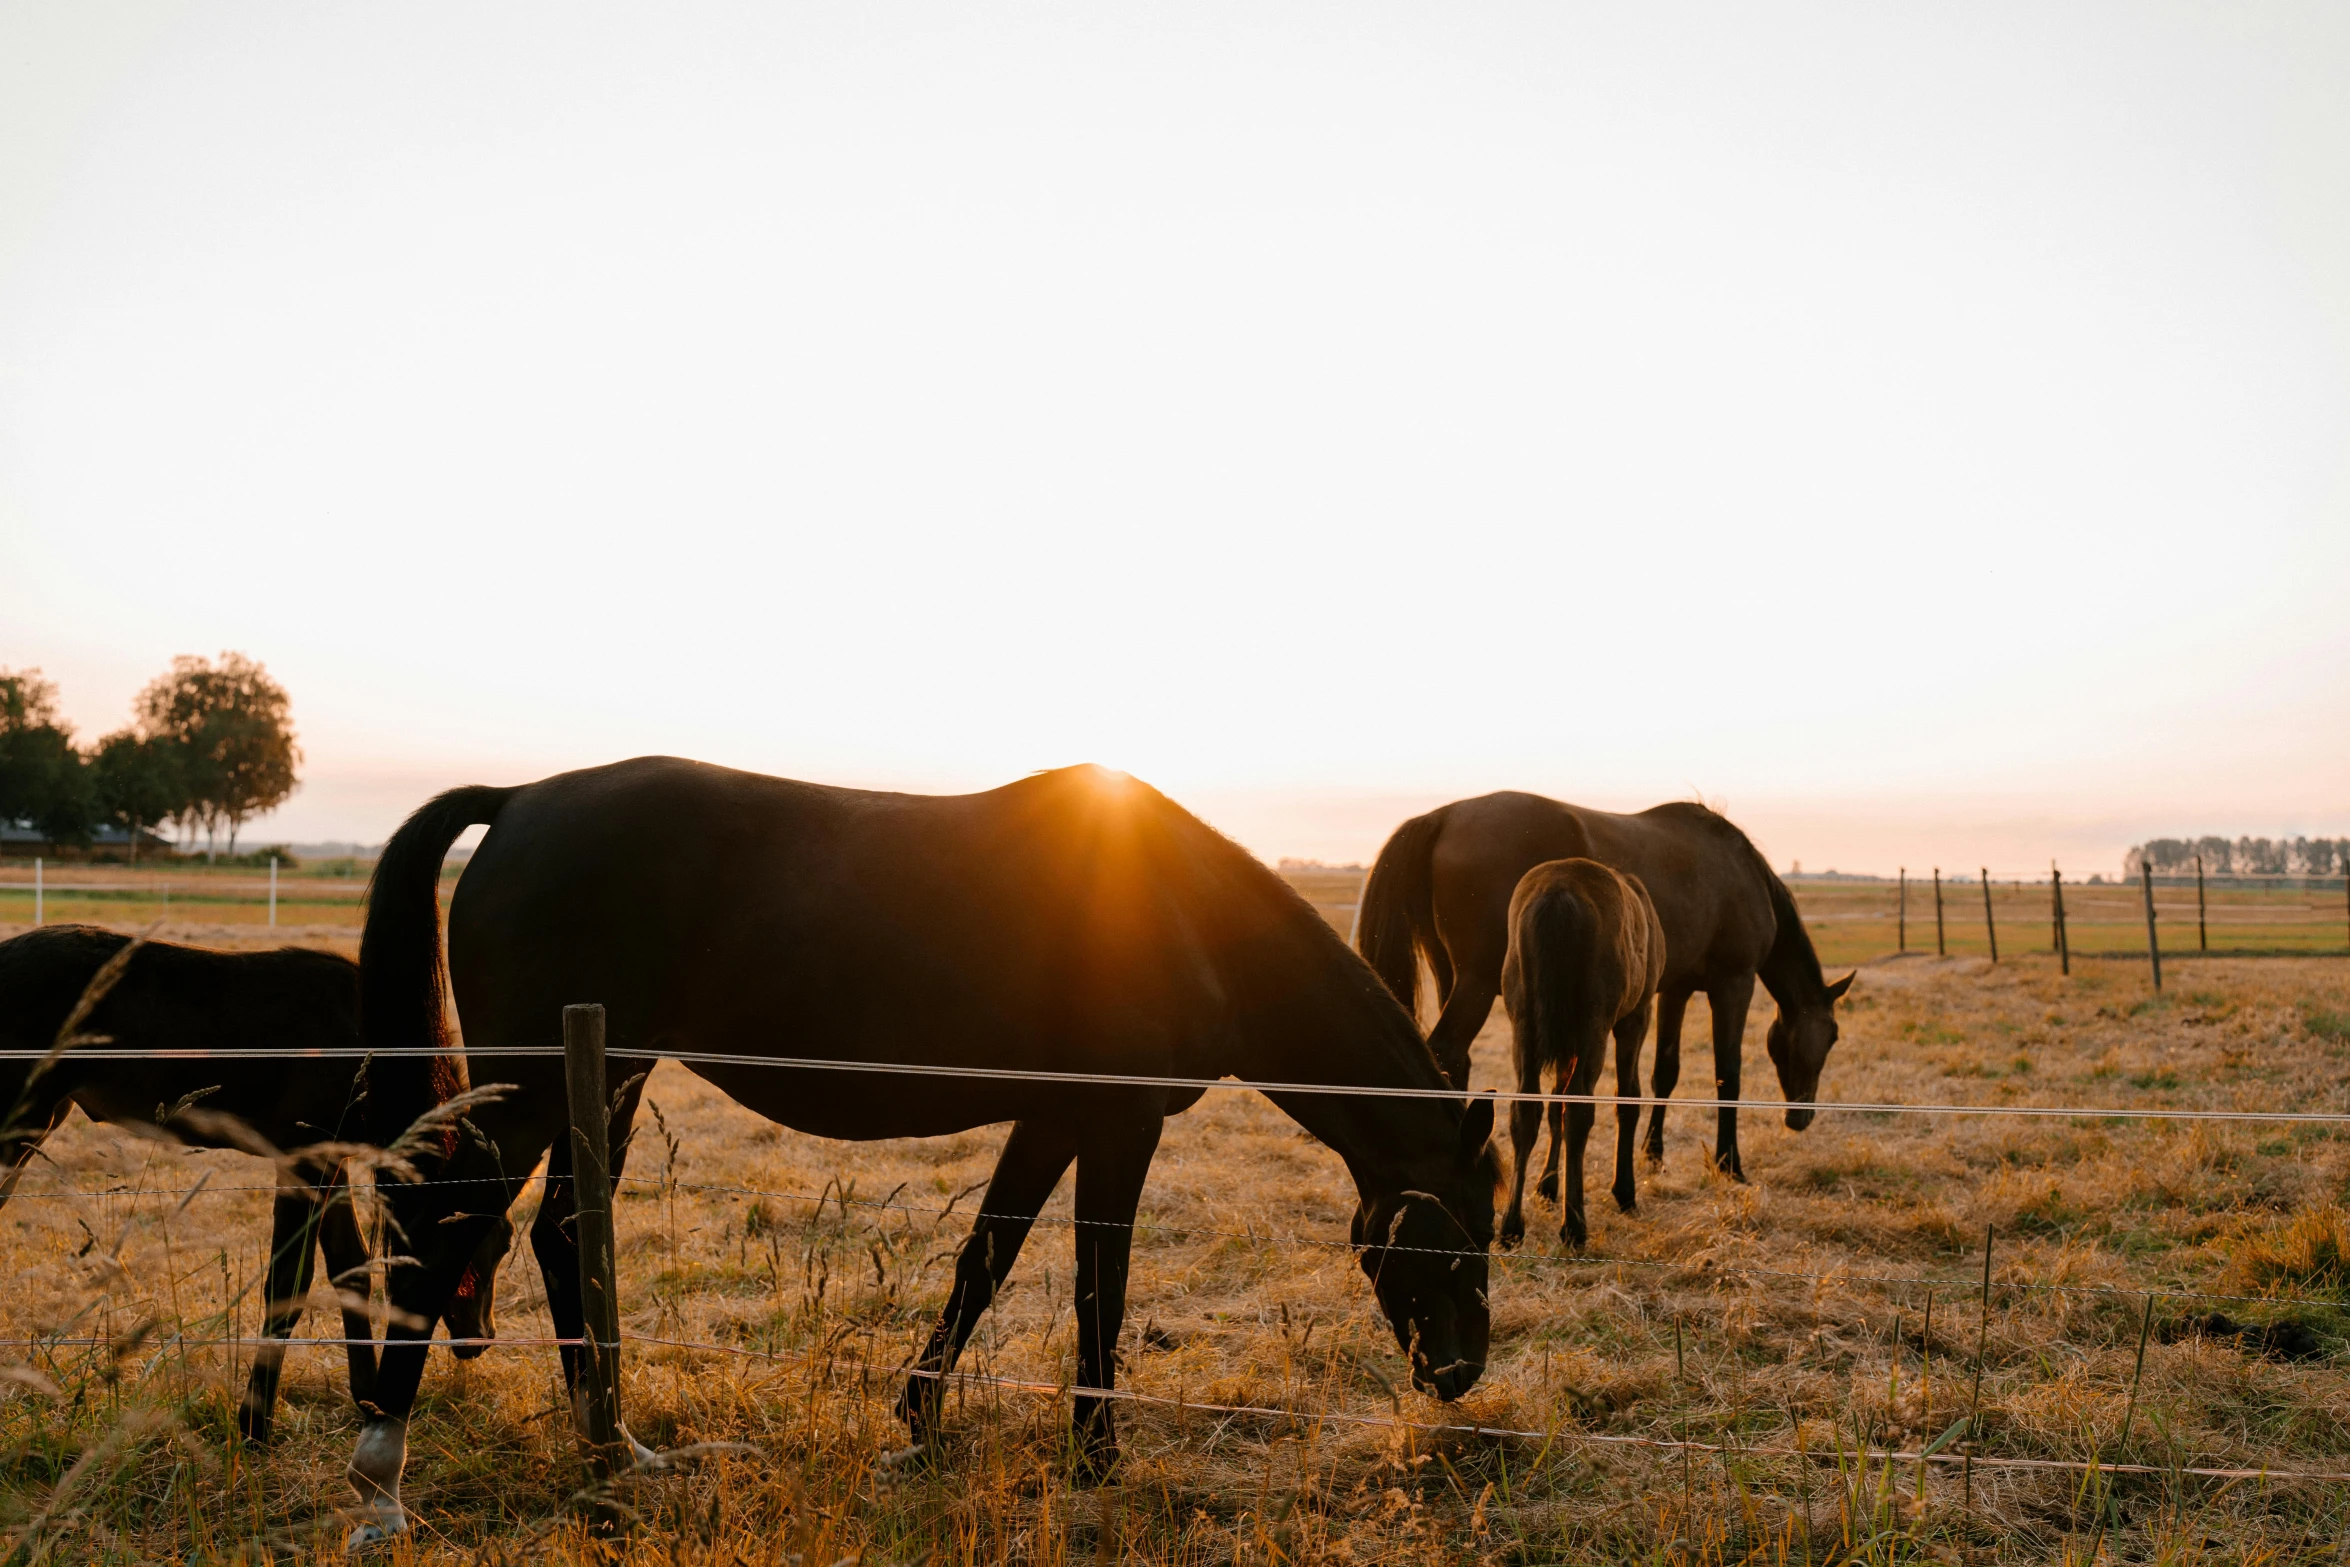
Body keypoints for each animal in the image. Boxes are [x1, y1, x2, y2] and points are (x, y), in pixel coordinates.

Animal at [0, 925, 514, 1456]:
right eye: (485, 1241)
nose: (481, 1336)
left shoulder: (329, 1158)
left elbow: (350, 1267)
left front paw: (368, 1399)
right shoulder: (301, 1155)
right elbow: (288, 1282)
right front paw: (254, 1426)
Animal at [340, 756, 1494, 1541]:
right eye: (1459, 1232)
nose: (1461, 1371)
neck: (1183, 912)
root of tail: (520, 798)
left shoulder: (1053, 1122)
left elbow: (987, 1256)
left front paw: (919, 1419)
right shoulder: (1118, 1123)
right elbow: (1099, 1284)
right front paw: (1094, 1455)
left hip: (606, 1079)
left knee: (558, 1236)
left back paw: (615, 1446)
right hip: (538, 1089)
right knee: (449, 1228)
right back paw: (383, 1474)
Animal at [1363, 789, 1851, 1184]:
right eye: (1831, 1036)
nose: (1802, 1116)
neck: (1739, 869)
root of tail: (1443, 815)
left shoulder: (1674, 989)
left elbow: (1665, 1072)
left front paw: (1653, 1155)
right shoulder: (1734, 984)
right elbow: (1727, 1074)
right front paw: (1730, 1162)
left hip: (1452, 977)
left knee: (1457, 1060)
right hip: (1476, 985)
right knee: (1446, 1052)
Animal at [1494, 859, 1663, 1249]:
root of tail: (1558, 892)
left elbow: (1554, 1105)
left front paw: (1547, 1186)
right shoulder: (1636, 1017)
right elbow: (1627, 1098)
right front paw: (1625, 1192)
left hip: (1524, 1022)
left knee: (1526, 1107)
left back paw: (1512, 1226)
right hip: (1594, 1025)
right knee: (1579, 1106)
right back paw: (1574, 1226)